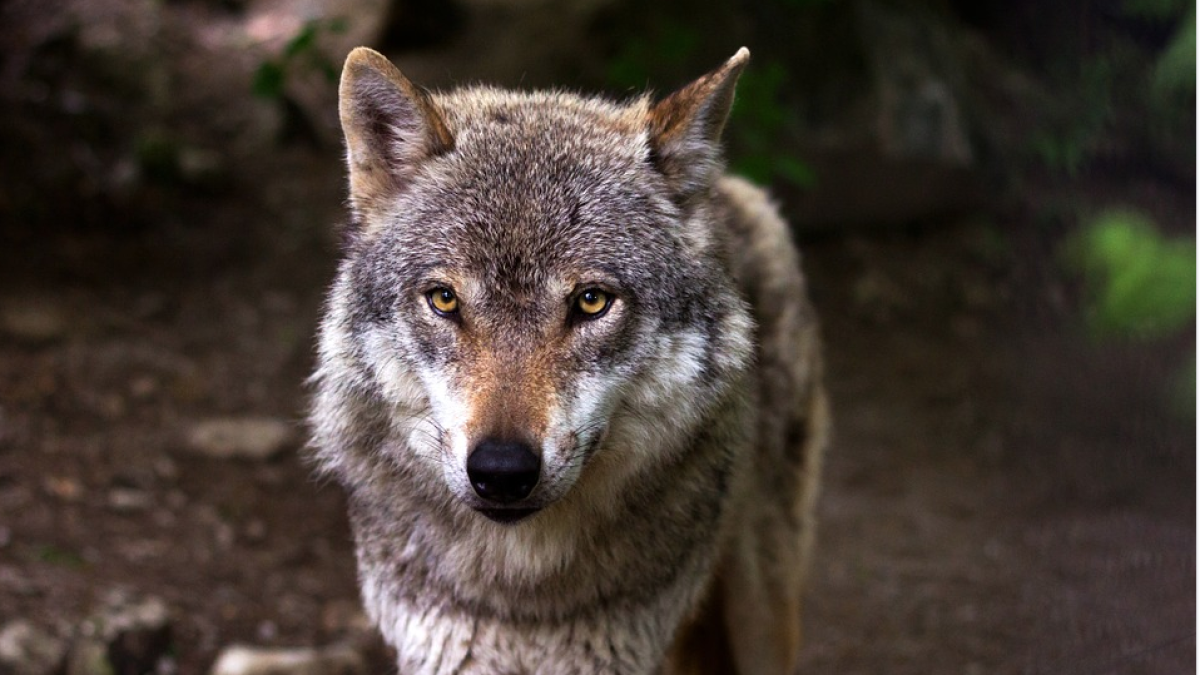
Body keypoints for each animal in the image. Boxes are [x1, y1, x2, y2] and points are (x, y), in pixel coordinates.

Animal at [308, 45, 830, 675]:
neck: (524, 600)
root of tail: (727, 187)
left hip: (761, 610)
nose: (501, 471)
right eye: (445, 299)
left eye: (591, 301)